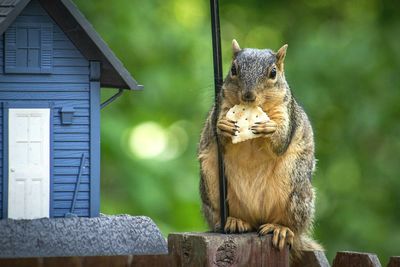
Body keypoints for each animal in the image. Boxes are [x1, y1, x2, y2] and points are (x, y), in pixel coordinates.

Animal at [198, 39, 324, 262]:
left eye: (273, 73)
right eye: (233, 69)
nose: (248, 95)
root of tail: (257, 220)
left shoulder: (286, 112)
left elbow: (281, 141)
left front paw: (268, 128)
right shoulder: (222, 106)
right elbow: (219, 133)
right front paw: (224, 127)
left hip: (295, 184)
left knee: (292, 226)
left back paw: (281, 229)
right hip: (211, 180)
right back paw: (234, 221)